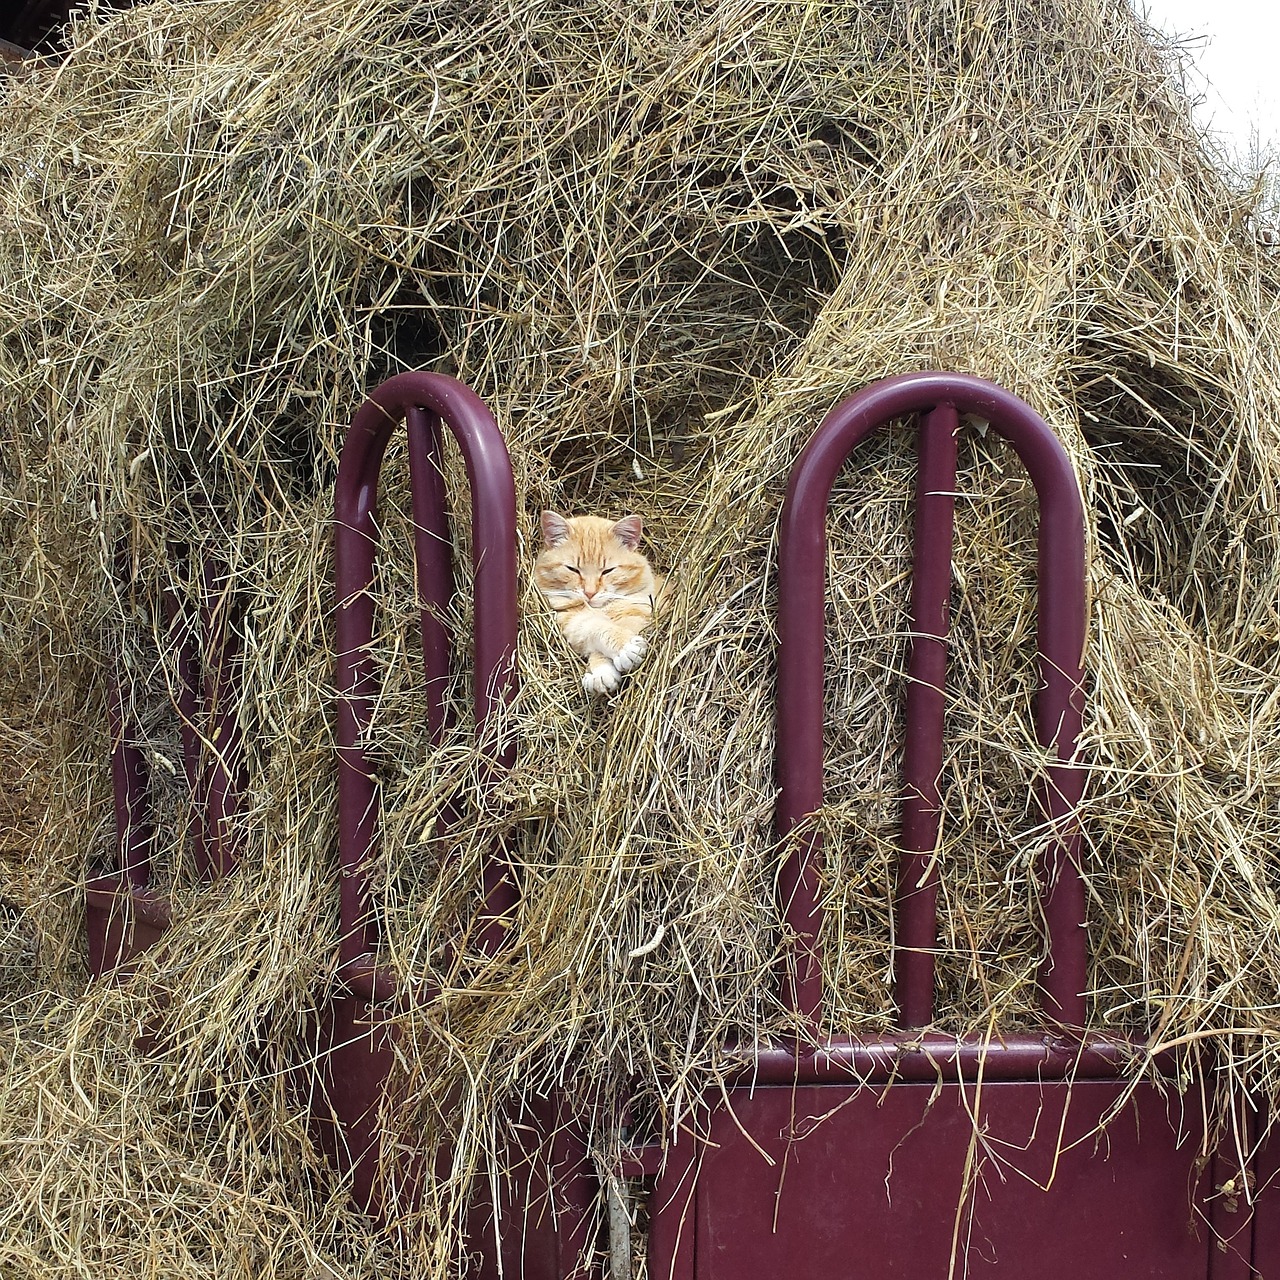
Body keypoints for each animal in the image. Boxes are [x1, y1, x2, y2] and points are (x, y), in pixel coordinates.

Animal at [532, 509, 665, 696]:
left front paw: (625, 647)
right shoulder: (573, 620)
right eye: (573, 569)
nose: (589, 593)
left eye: (607, 571)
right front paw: (601, 671)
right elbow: (598, 627)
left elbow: (622, 627)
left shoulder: (638, 611)